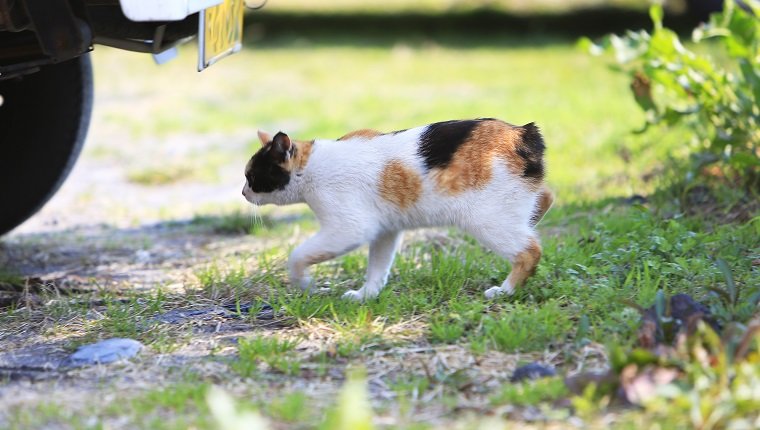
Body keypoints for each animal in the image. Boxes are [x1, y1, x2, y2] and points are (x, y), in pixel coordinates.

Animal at [243, 116, 552, 298]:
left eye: (252, 177)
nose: (243, 192)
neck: (311, 166)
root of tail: (523, 134)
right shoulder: (385, 231)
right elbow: (377, 268)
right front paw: (366, 295)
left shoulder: (349, 228)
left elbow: (298, 255)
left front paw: (303, 282)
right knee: (546, 197)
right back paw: (533, 219)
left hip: (487, 220)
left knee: (530, 252)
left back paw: (505, 290)